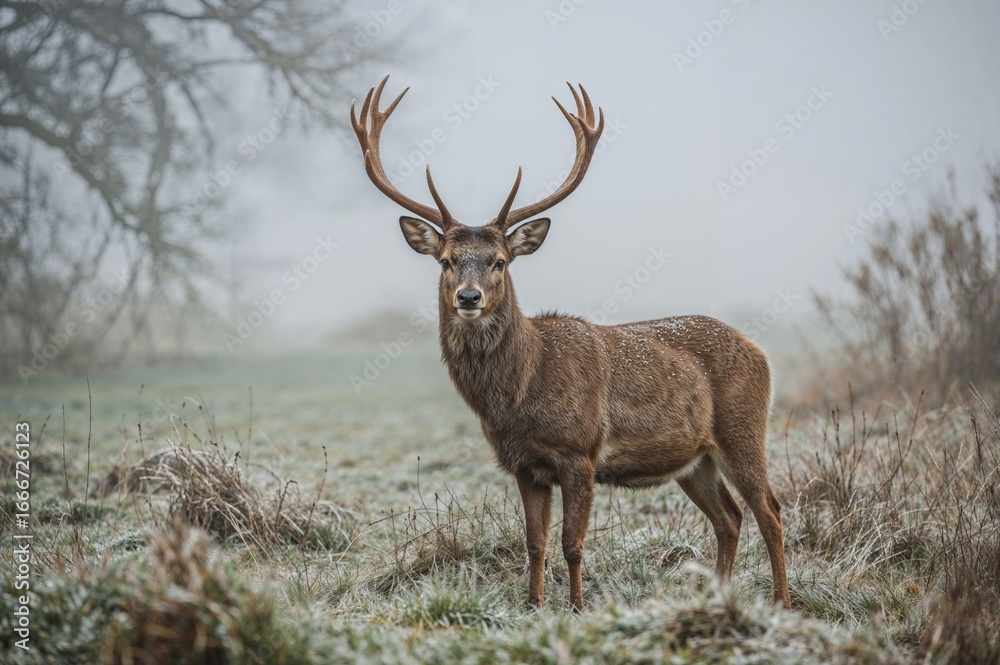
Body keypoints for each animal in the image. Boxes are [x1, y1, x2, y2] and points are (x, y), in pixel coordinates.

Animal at [350, 76, 791, 611]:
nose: (469, 297)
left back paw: (782, 603)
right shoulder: (523, 464)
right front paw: (533, 606)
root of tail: (758, 350)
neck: (520, 389)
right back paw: (718, 599)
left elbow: (572, 544)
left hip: (743, 426)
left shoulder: (581, 451)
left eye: (500, 261)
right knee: (729, 517)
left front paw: (578, 608)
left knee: (769, 509)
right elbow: (535, 542)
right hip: (694, 458)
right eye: (447, 260)